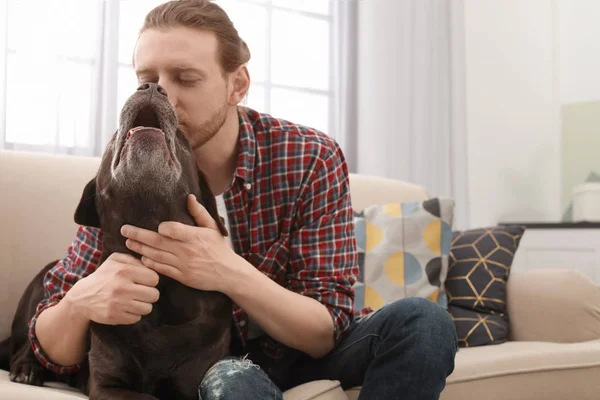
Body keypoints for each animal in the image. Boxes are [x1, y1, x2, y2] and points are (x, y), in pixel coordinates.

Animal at [0, 82, 232, 400]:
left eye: (182, 137)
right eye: (113, 137)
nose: (151, 86)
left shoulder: (190, 382)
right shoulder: (107, 383)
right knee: (29, 341)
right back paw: (27, 369)